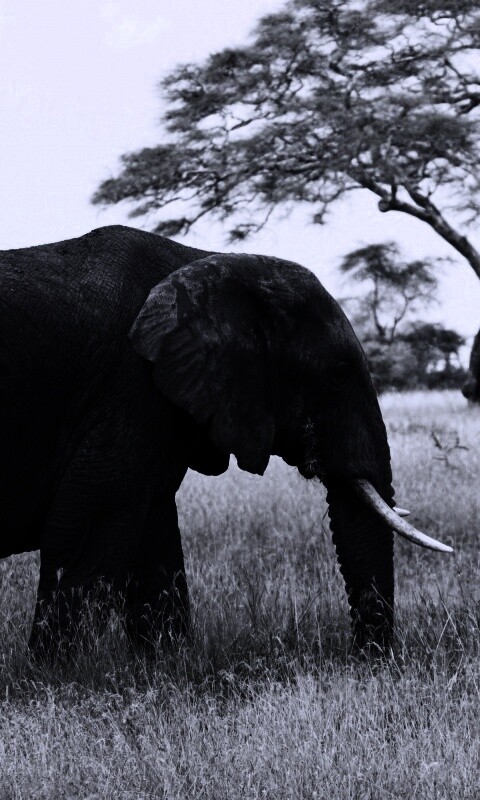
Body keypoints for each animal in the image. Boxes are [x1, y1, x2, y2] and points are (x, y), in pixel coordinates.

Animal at [0, 225, 451, 655]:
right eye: (339, 373)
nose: (366, 660)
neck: (209, 262)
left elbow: (155, 545)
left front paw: (166, 665)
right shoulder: (129, 392)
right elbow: (81, 536)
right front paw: (54, 673)